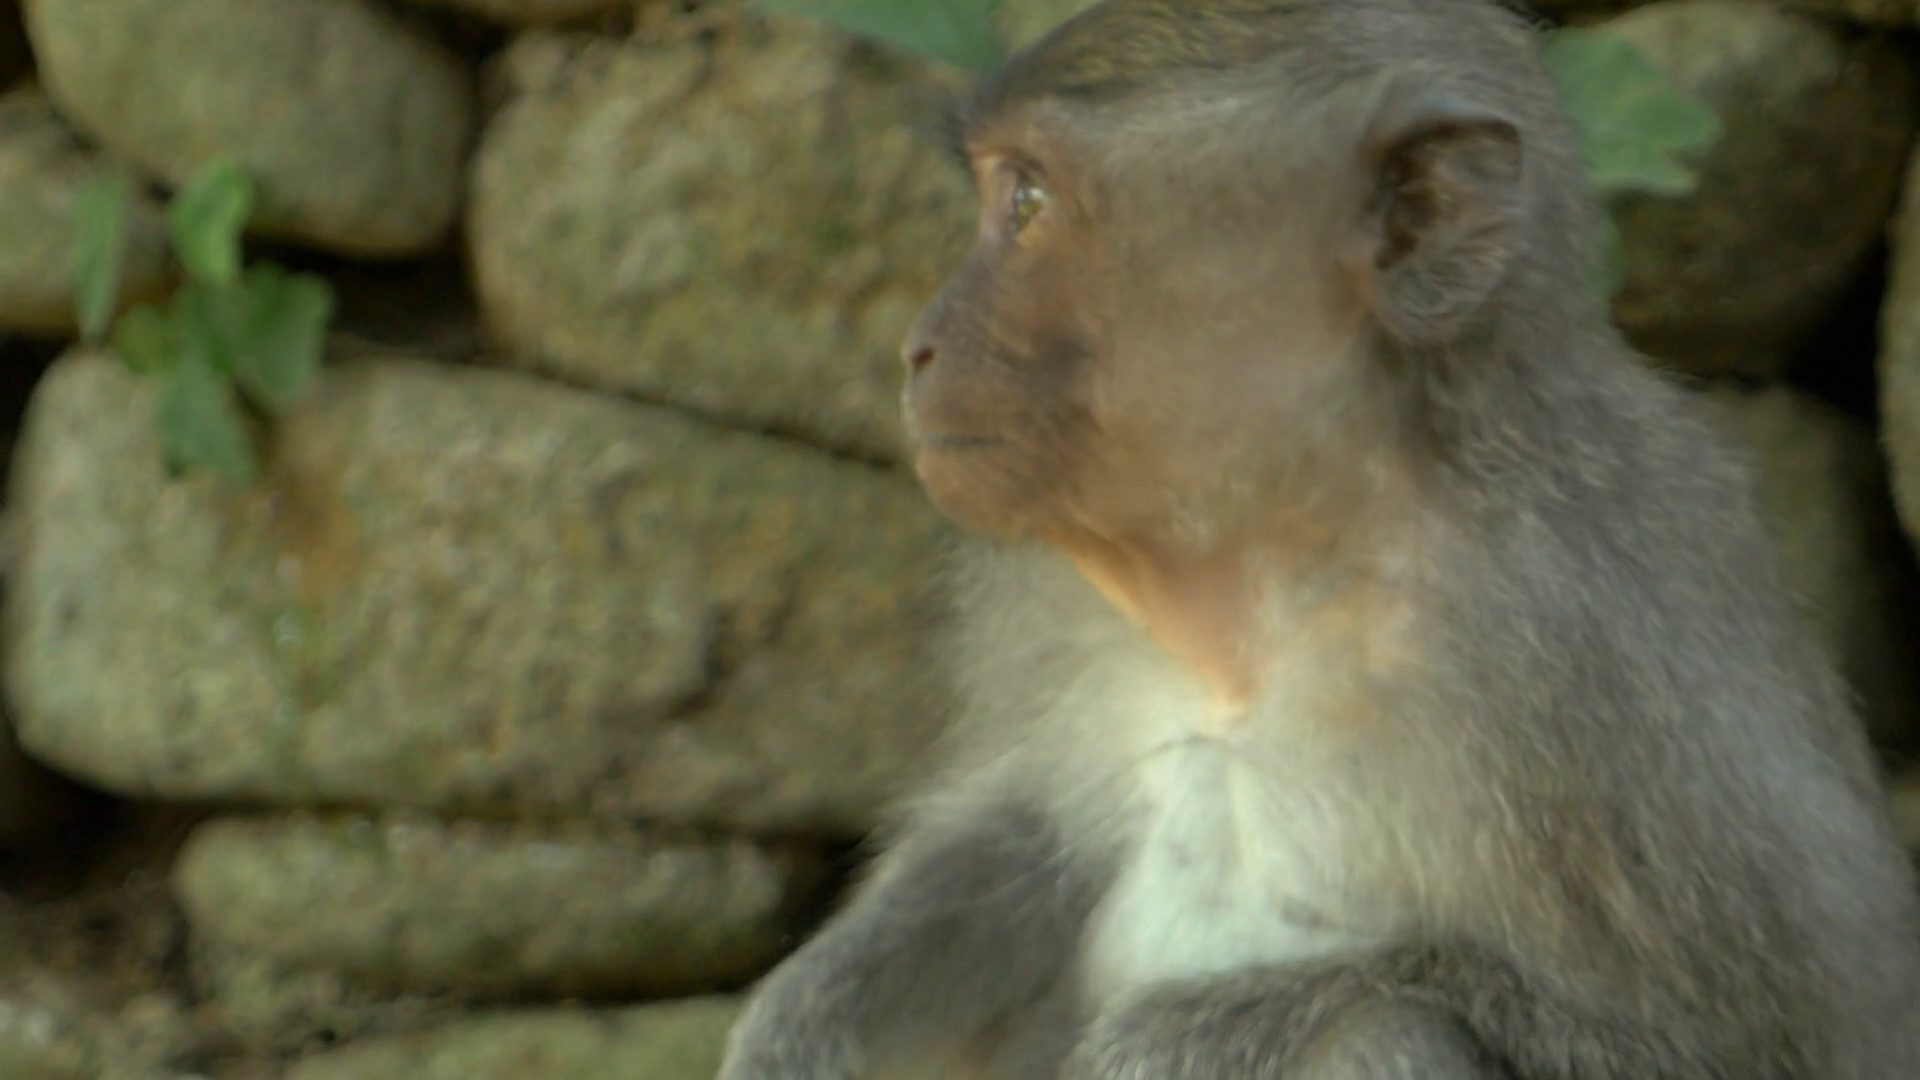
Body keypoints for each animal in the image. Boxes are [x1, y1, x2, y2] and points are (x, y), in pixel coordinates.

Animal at [714, 1, 1920, 1078]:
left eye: (1027, 201)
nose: (917, 347)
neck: (1289, 568)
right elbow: (1039, 828)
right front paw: (806, 1017)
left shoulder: (1585, 647)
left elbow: (1766, 1045)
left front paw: (1178, 1041)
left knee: (1385, 1035)